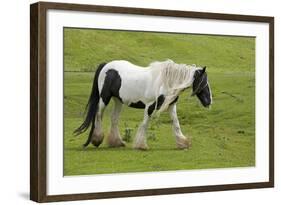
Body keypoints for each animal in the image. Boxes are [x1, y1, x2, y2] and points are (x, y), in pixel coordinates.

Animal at [73, 60, 211, 150]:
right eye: (203, 81)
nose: (209, 101)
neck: (165, 81)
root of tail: (106, 65)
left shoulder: (171, 106)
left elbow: (176, 124)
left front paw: (183, 143)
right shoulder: (149, 106)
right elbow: (145, 124)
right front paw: (141, 145)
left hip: (118, 100)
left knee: (114, 118)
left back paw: (117, 142)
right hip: (104, 99)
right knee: (98, 115)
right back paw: (97, 140)